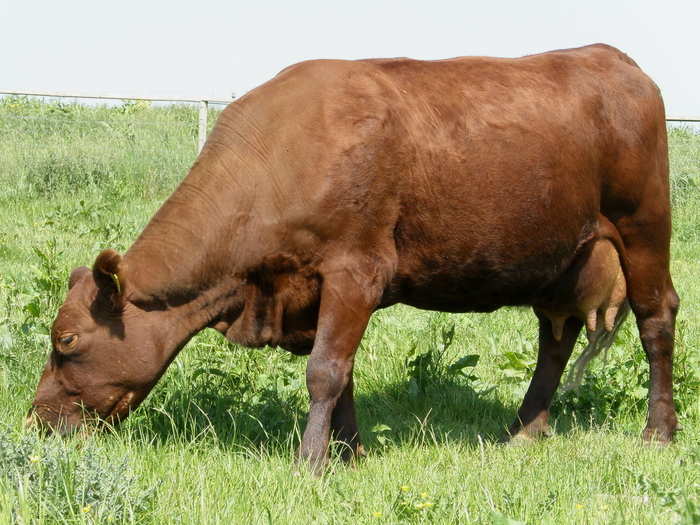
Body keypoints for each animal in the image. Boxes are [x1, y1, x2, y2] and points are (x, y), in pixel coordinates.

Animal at [31, 44, 680, 470]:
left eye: (66, 340)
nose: (36, 421)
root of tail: (613, 58)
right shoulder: (318, 289)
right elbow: (342, 373)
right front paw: (348, 453)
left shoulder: (356, 270)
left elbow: (324, 370)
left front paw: (309, 464)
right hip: (562, 258)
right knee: (557, 335)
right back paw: (524, 431)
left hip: (643, 225)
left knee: (656, 317)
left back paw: (658, 433)